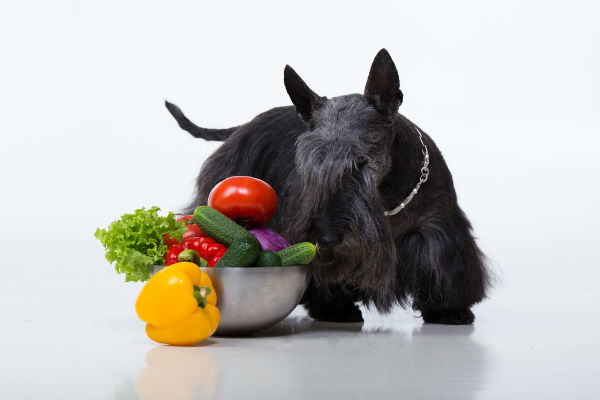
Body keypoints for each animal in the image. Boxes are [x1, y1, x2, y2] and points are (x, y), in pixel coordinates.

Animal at [164, 48, 488, 324]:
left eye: (361, 162)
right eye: (308, 165)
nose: (329, 238)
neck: (388, 199)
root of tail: (243, 126)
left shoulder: (439, 230)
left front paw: (449, 310)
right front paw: (333, 308)